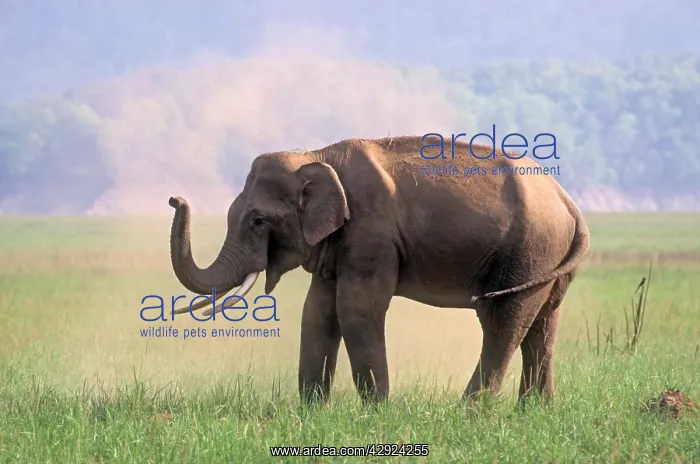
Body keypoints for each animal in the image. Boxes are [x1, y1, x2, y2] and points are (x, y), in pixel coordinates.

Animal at [167, 135, 590, 405]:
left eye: (258, 221)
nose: (174, 198)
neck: (316, 155)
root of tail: (567, 200)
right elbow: (318, 311)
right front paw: (311, 412)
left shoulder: (370, 233)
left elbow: (356, 308)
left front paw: (376, 412)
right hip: (548, 259)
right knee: (542, 325)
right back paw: (535, 412)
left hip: (529, 252)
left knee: (504, 321)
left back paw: (470, 412)